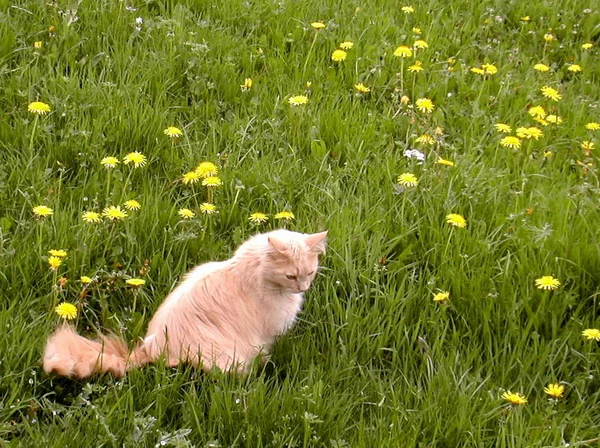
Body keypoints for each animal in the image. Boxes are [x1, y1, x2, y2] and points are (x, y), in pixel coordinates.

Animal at [42, 228, 328, 378]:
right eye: (291, 276)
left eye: (310, 273)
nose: (303, 288)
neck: (252, 269)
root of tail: (148, 350)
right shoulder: (269, 333)